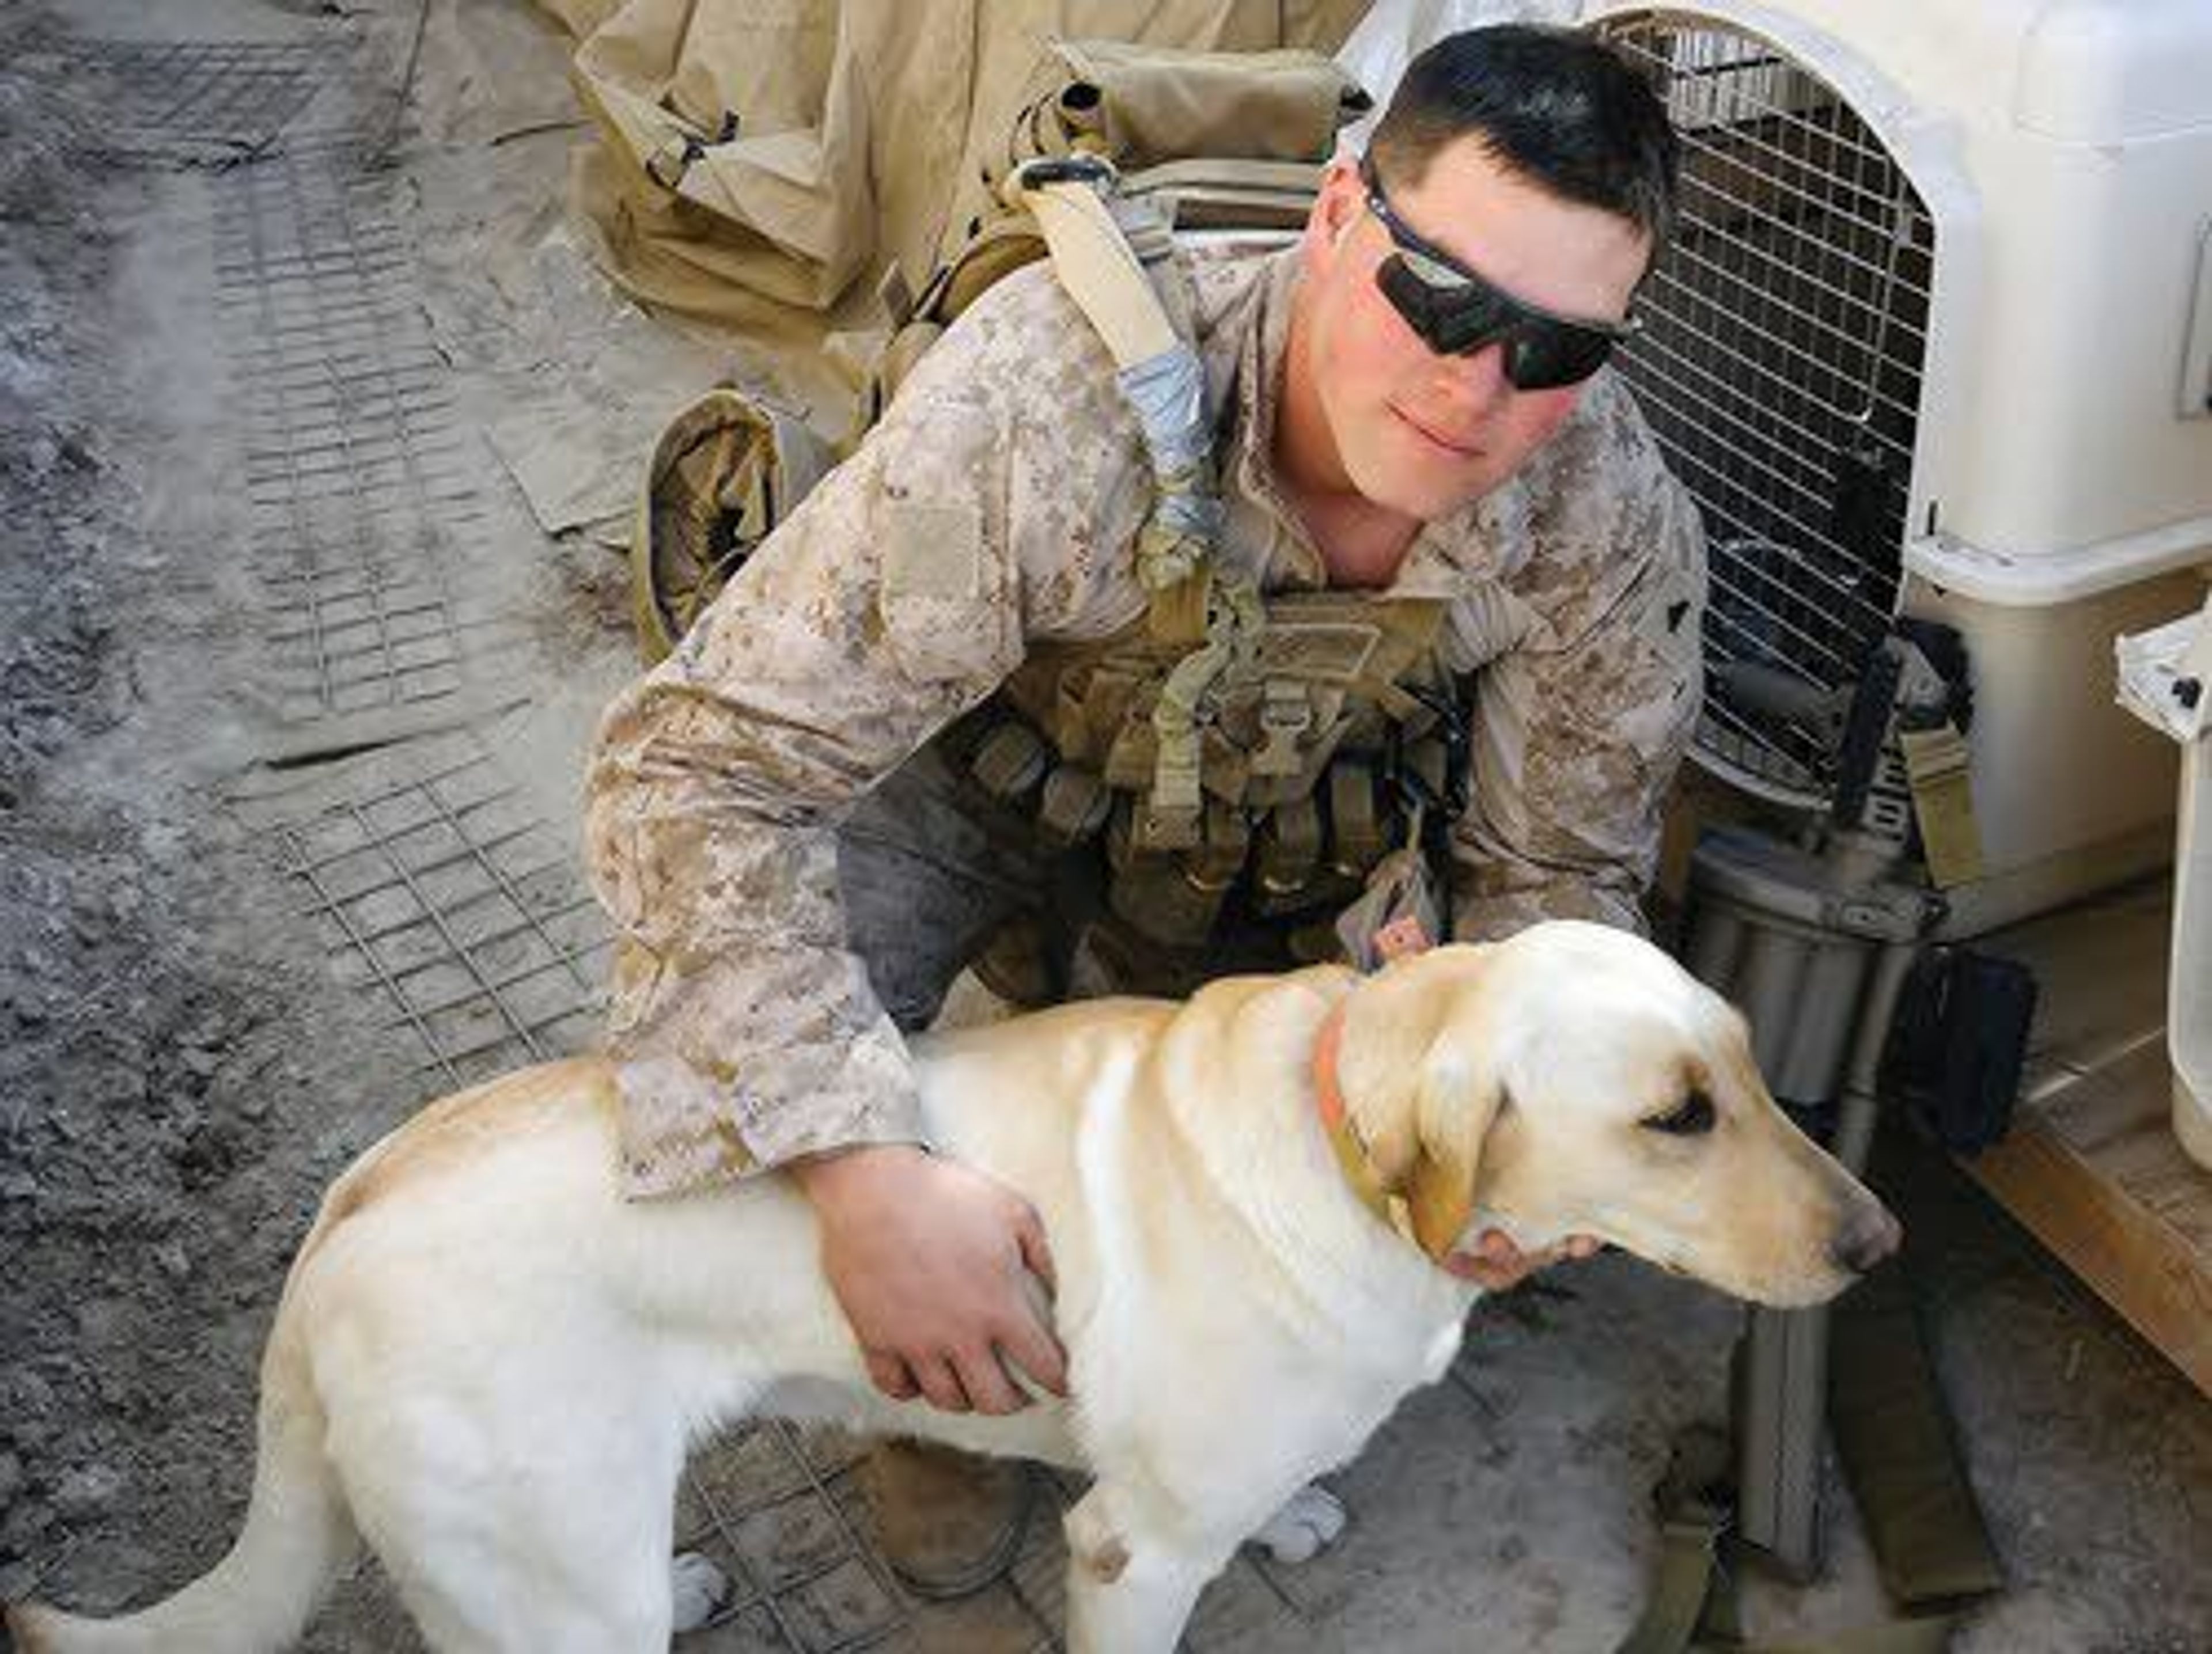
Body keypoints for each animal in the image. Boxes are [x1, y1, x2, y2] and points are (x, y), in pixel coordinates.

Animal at [9, 924, 1893, 1645]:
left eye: (1749, 1067)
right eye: (1672, 1116)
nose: (1878, 1244)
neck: (1337, 1130)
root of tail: (340, 1223)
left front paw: (1289, 1519)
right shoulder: (1127, 1556)